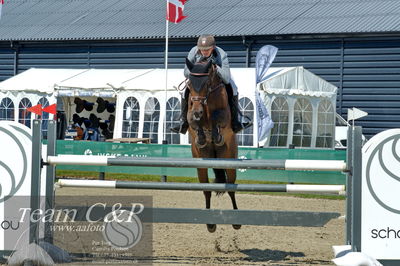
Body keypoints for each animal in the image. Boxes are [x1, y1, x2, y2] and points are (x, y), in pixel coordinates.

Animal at [185, 57, 239, 232]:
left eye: (207, 83)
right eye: (189, 85)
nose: (198, 111)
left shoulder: (223, 115)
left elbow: (217, 117)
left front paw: (216, 135)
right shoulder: (190, 114)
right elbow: (194, 123)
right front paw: (201, 138)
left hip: (229, 160)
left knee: (231, 188)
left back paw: (237, 221)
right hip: (201, 165)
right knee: (206, 190)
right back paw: (210, 224)